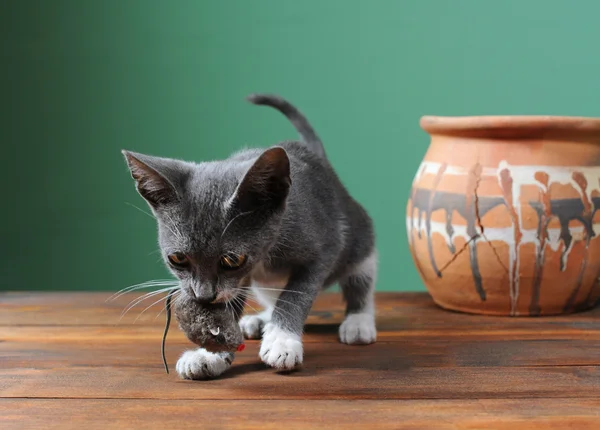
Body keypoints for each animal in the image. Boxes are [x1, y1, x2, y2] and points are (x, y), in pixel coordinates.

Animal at [121, 95, 376, 380]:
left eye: (231, 260)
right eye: (177, 258)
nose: (203, 296)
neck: (266, 252)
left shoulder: (325, 244)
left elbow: (297, 293)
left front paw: (282, 341)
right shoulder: (236, 282)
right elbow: (227, 305)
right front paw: (210, 354)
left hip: (358, 238)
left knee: (360, 279)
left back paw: (358, 321)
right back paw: (260, 320)